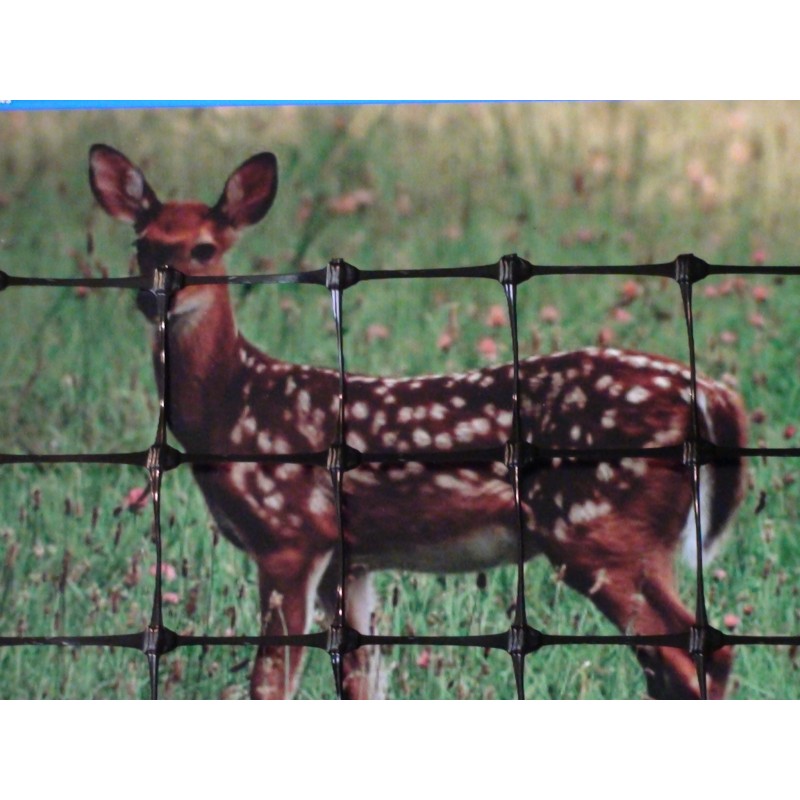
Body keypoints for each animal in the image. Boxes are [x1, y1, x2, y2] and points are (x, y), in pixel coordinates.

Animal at [88, 144, 748, 700]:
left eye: (204, 249)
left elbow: (269, 686)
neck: (230, 410)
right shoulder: (349, 560)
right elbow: (362, 682)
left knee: (698, 656)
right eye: (141, 246)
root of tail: (712, 396)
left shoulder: (288, 538)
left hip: (603, 533)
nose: (154, 296)